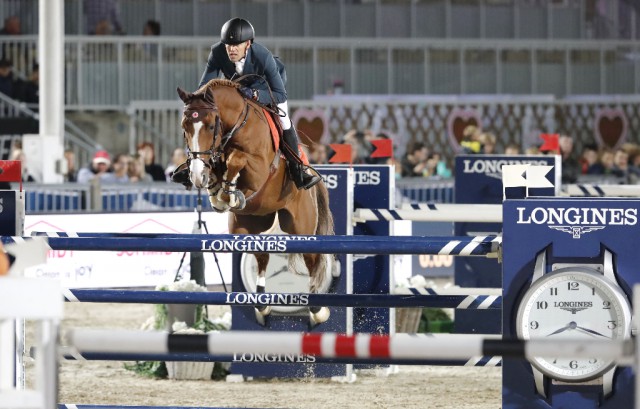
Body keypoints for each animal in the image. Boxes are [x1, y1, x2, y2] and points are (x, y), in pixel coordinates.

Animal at [175, 78, 336, 326]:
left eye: (211, 126)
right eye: (185, 127)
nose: (196, 175)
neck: (235, 126)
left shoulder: (258, 167)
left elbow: (237, 159)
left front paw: (227, 191)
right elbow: (219, 167)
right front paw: (218, 191)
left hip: (301, 226)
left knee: (312, 259)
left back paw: (317, 310)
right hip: (248, 225)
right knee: (261, 254)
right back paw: (262, 304)